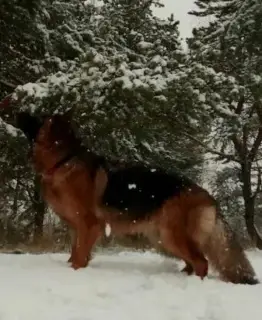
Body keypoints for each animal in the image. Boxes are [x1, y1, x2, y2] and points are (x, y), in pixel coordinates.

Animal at [14, 110, 258, 284]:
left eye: (38, 115)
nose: (14, 107)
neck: (63, 160)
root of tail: (207, 195)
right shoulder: (76, 228)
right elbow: (75, 254)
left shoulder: (90, 226)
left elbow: (80, 257)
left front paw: (75, 274)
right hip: (164, 239)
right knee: (192, 262)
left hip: (171, 236)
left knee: (201, 262)